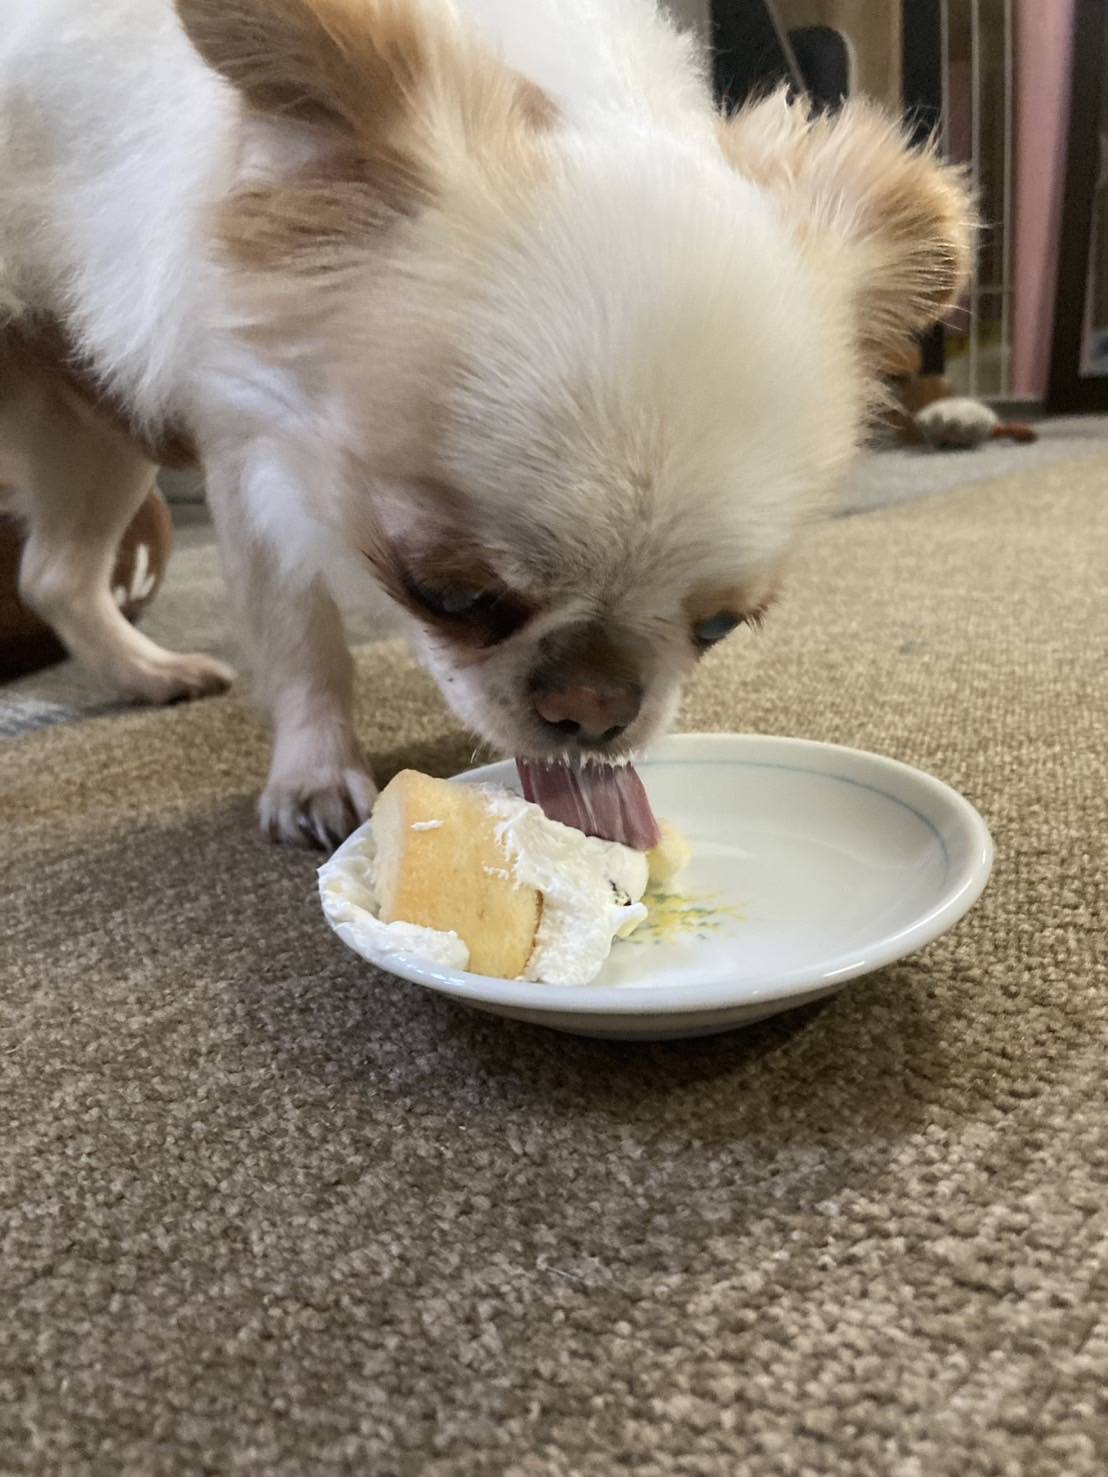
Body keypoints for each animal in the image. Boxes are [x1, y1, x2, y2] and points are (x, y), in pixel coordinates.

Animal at [0, 0, 972, 847]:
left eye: (720, 627)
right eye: (450, 596)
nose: (593, 708)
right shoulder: (256, 438)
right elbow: (301, 636)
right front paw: (312, 769)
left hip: (95, 428)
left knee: (55, 575)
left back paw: (146, 672)